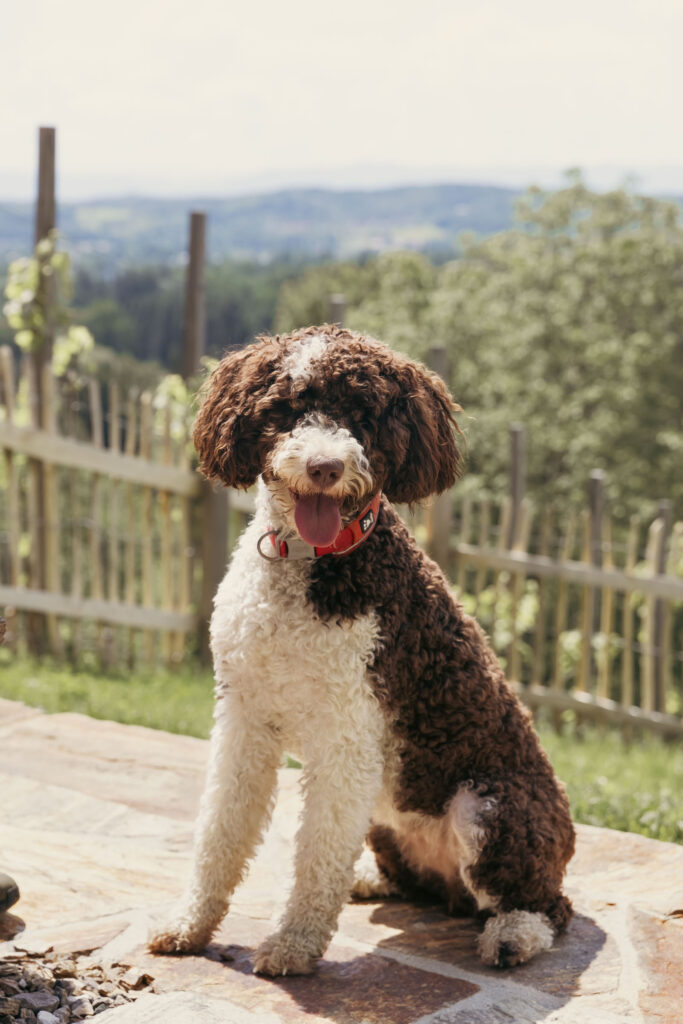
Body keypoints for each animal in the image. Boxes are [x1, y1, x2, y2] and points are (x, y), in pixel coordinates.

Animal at [149, 325, 577, 974]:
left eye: (363, 414)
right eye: (288, 407)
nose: (325, 465)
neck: (308, 564)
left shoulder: (346, 734)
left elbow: (316, 851)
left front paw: (294, 945)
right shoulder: (243, 718)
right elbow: (219, 831)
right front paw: (188, 924)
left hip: (491, 808)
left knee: (547, 904)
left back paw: (513, 935)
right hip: (387, 816)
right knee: (418, 883)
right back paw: (374, 882)